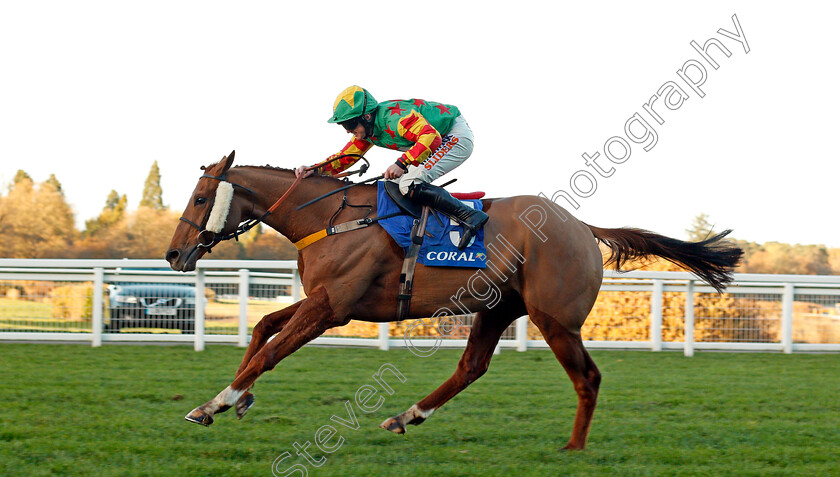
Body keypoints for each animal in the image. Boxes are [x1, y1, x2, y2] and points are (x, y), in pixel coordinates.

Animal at [166, 151, 740, 448]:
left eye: (200, 197)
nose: (174, 254)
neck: (329, 217)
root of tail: (582, 226)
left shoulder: (332, 308)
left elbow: (271, 350)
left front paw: (214, 402)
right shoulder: (325, 301)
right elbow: (264, 329)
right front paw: (238, 399)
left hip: (554, 318)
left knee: (588, 378)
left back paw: (573, 447)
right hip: (498, 308)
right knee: (471, 368)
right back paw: (407, 415)